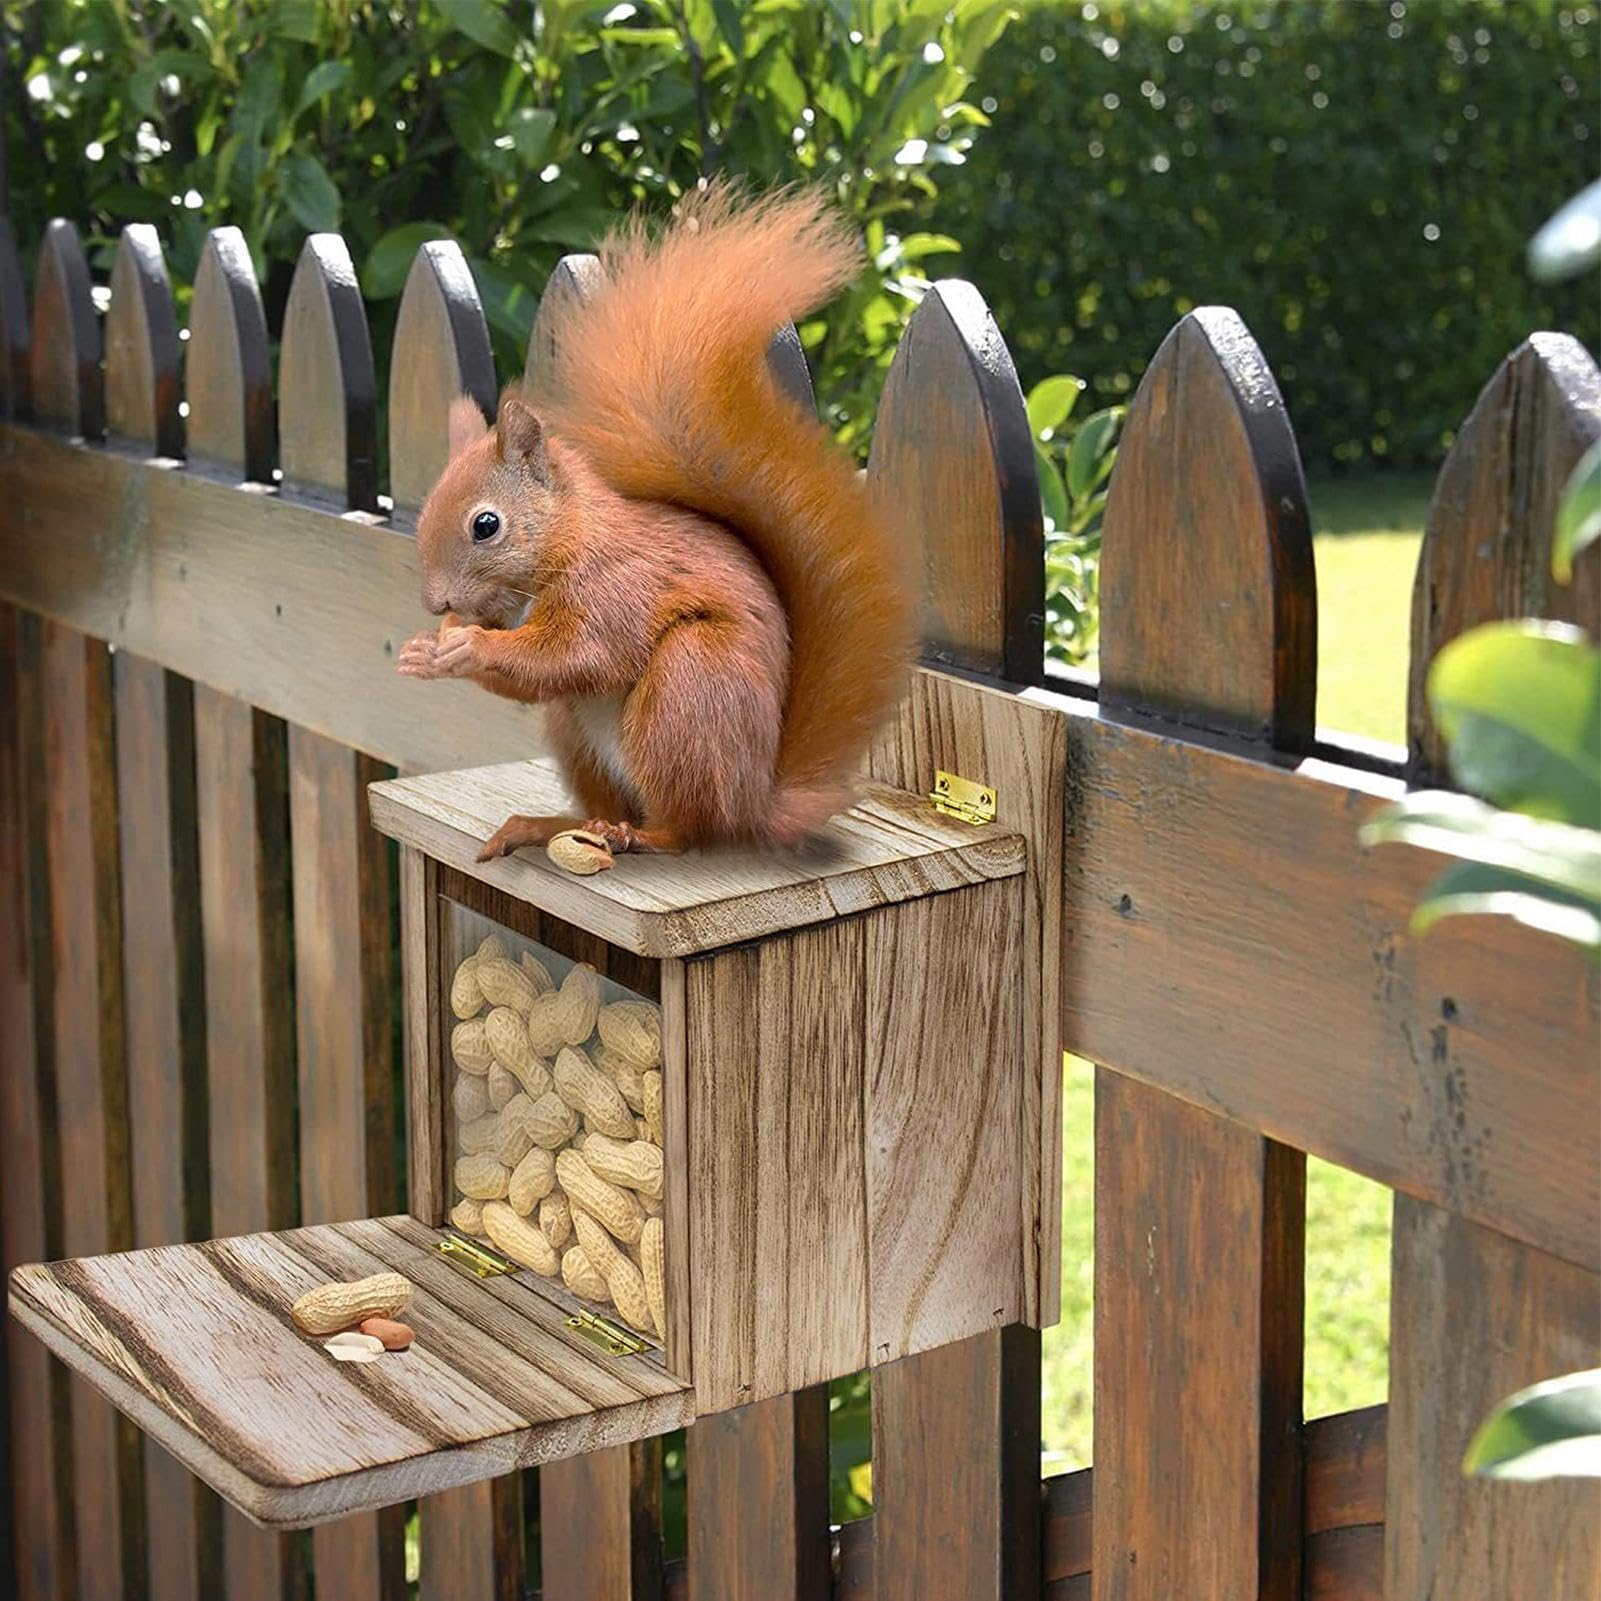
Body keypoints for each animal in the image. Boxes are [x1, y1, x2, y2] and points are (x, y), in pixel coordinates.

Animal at [397, 184, 915, 859]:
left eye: (486, 525)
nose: (437, 605)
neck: (565, 542)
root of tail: (754, 802)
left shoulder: (616, 587)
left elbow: (579, 655)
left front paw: (469, 644)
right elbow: (533, 681)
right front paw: (423, 653)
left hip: (687, 687)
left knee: (685, 828)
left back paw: (639, 835)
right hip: (578, 733)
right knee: (604, 801)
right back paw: (551, 826)